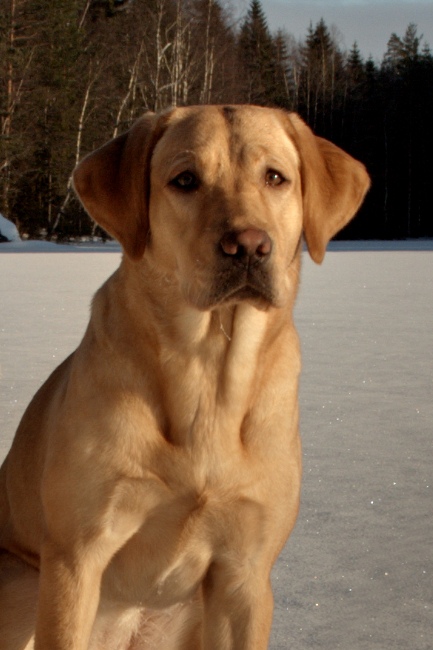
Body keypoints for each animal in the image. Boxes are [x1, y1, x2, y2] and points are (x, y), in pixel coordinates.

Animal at [0, 105, 370, 650]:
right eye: (186, 180)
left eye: (275, 177)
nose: (249, 246)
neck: (208, 371)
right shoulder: (75, 556)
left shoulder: (245, 574)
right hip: (23, 585)